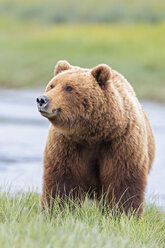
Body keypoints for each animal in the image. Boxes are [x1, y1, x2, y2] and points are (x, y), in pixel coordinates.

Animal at [36, 60, 155, 215]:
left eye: (69, 87)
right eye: (52, 85)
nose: (42, 99)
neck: (92, 134)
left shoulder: (120, 143)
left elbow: (124, 181)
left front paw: (123, 214)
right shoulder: (67, 144)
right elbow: (62, 180)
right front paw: (57, 210)